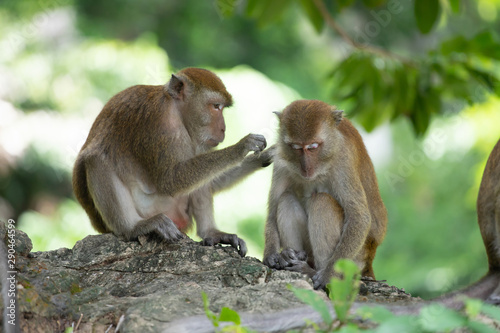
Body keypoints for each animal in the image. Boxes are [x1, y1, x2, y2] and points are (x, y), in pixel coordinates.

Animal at [72, 67, 272, 254]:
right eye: (216, 106)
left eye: (222, 107)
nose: (223, 129)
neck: (175, 108)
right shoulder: (160, 123)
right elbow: (171, 180)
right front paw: (242, 146)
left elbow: (211, 179)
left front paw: (265, 156)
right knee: (96, 160)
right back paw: (132, 227)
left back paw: (210, 233)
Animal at [264, 98, 388, 288]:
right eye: (296, 147)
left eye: (313, 146)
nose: (306, 167)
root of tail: (370, 259)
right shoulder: (281, 157)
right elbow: (272, 211)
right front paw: (271, 255)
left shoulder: (343, 159)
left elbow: (359, 217)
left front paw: (327, 275)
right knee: (286, 198)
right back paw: (292, 256)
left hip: (355, 261)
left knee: (321, 202)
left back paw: (314, 271)